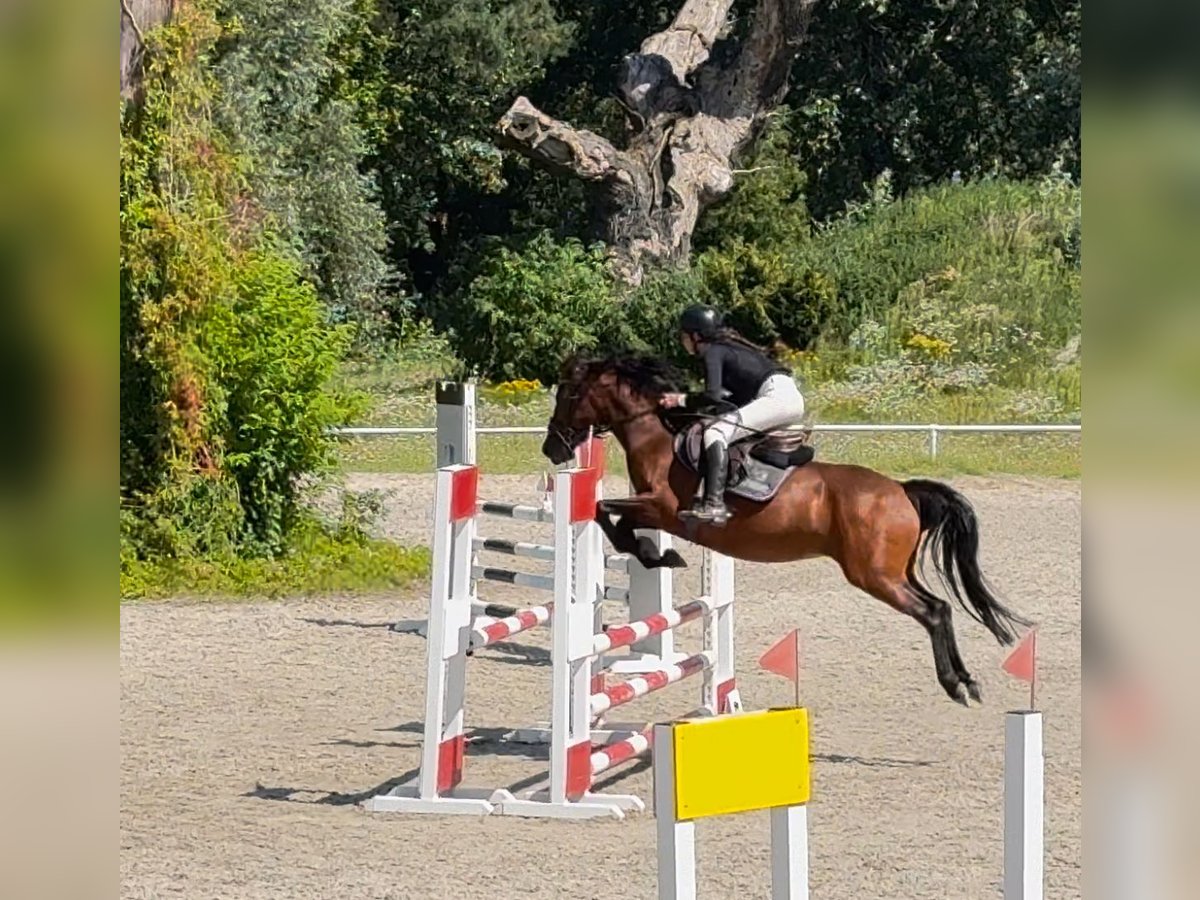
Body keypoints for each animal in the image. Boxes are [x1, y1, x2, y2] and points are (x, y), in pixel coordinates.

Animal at [542, 352, 1032, 705]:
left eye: (568, 393)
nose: (551, 449)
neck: (659, 439)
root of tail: (901, 491)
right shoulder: (654, 510)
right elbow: (614, 518)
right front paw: (660, 555)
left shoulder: (662, 509)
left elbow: (605, 511)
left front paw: (657, 554)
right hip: (896, 571)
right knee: (942, 608)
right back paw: (968, 681)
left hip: (874, 575)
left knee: (931, 612)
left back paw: (954, 684)